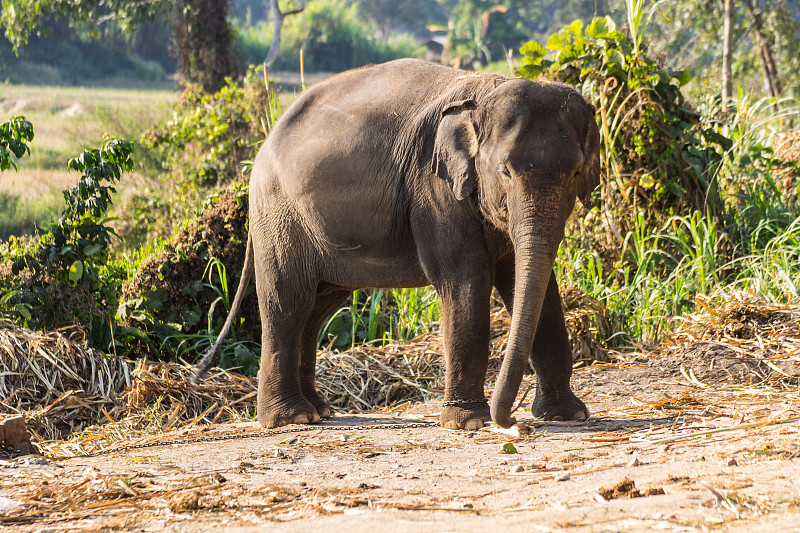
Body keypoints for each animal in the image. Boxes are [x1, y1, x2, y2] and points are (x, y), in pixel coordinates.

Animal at [194, 57, 600, 428]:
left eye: (576, 172)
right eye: (505, 171)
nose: (513, 421)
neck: (482, 95)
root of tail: (261, 150)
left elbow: (534, 286)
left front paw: (567, 415)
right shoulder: (433, 189)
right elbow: (465, 283)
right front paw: (468, 423)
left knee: (315, 310)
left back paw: (318, 411)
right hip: (279, 216)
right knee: (287, 302)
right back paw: (290, 418)